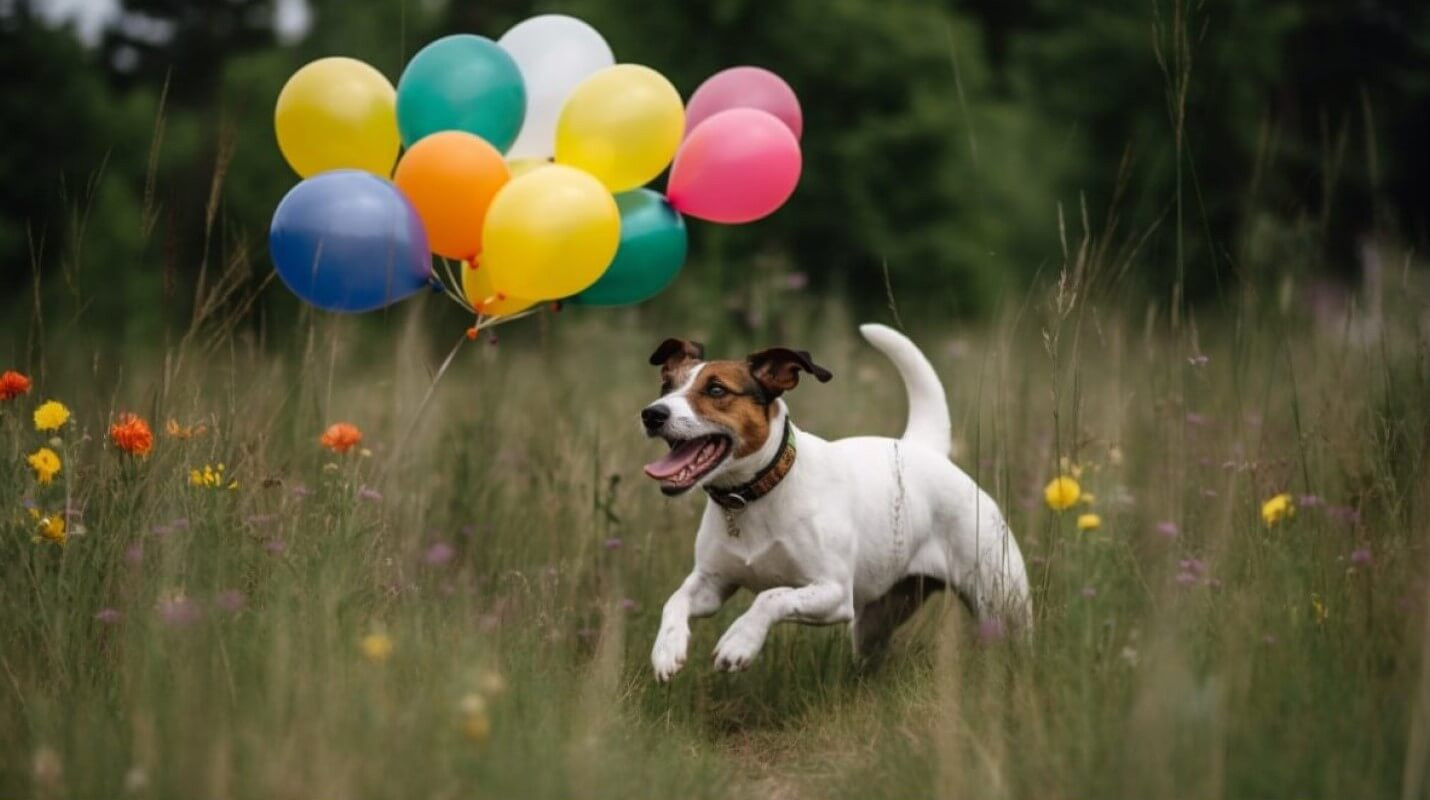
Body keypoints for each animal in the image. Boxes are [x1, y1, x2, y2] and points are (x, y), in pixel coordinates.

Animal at [643, 322, 1035, 678]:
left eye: (716, 389)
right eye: (666, 384)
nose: (652, 413)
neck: (756, 494)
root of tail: (923, 448)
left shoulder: (832, 594)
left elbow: (770, 597)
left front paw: (740, 641)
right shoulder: (712, 584)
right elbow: (675, 600)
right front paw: (667, 647)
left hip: (1001, 600)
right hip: (876, 620)